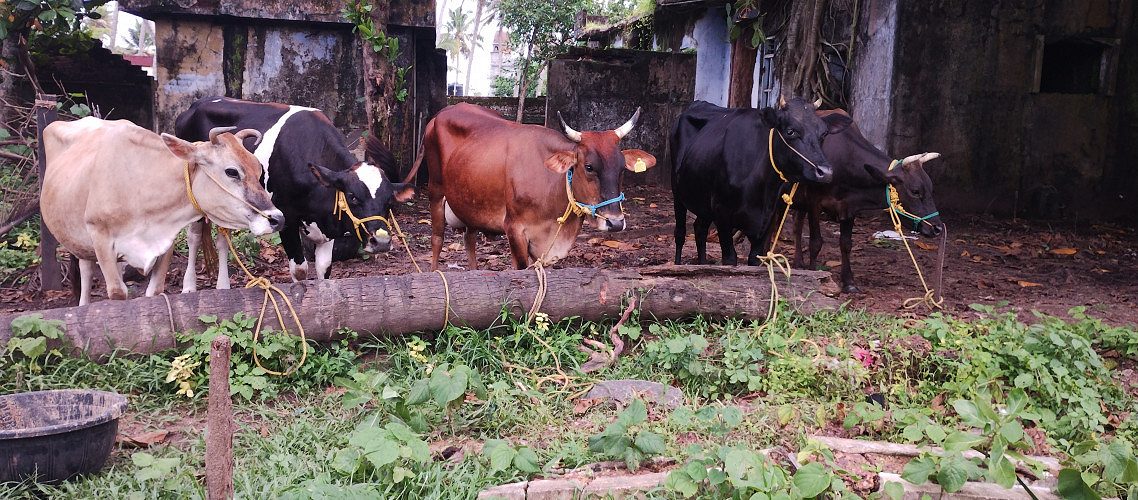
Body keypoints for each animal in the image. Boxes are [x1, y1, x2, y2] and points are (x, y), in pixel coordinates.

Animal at [40, 117, 284, 305]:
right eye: (232, 171)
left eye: (258, 170)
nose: (277, 219)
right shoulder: (99, 236)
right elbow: (117, 293)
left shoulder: (166, 239)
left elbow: (154, 291)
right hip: (80, 240)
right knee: (86, 270)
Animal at [174, 97, 414, 290]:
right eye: (353, 197)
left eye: (389, 202)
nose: (381, 242)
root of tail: (196, 104)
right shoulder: (286, 218)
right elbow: (299, 271)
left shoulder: (327, 227)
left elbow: (324, 269)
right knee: (194, 236)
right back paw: (189, 287)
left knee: (223, 238)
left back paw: (223, 287)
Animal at [407, 103, 656, 270]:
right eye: (589, 167)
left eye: (622, 169)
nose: (615, 223)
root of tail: (440, 114)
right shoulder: (515, 229)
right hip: (436, 191)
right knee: (437, 238)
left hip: (469, 200)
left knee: (469, 240)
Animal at [671, 98, 851, 266]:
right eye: (790, 131)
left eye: (824, 134)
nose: (825, 172)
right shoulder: (722, 213)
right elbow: (730, 258)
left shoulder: (768, 218)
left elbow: (755, 258)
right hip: (677, 191)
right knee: (680, 233)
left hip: (703, 203)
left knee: (700, 229)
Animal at [788, 109, 942, 293]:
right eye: (915, 191)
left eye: (931, 188)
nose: (937, 228)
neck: (843, 161)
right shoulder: (814, 203)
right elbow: (816, 242)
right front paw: (814, 274)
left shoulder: (849, 207)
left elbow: (846, 244)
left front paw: (849, 282)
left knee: (797, 223)